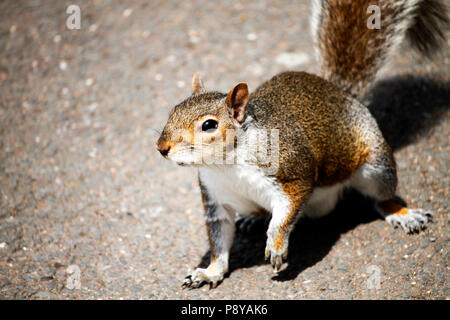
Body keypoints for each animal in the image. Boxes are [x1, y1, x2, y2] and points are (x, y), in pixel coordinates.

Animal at [154, 0, 446, 288]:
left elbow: (286, 214)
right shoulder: (215, 198)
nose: (161, 147)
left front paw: (276, 245)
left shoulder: (291, 173)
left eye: (209, 125)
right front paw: (209, 272)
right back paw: (253, 217)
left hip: (376, 166)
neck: (226, 163)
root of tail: (339, 92)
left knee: (381, 196)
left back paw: (402, 212)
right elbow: (219, 239)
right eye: (173, 111)